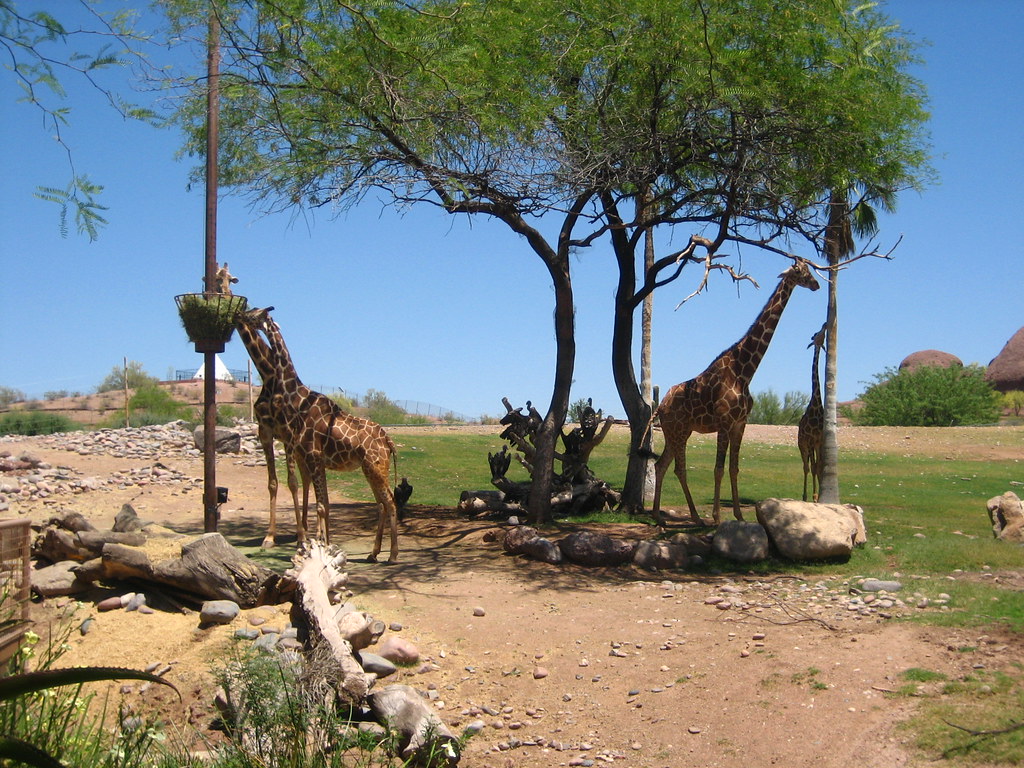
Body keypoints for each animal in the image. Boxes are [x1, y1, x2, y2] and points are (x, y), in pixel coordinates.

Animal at [234, 307, 303, 548]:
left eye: (253, 312)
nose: (237, 315)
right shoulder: (265, 432)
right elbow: (273, 483)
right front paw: (269, 536)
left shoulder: (288, 434)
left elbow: (292, 483)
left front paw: (301, 538)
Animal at [254, 308, 401, 563]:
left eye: (255, 314)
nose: (241, 314)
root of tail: (388, 441)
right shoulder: (313, 458)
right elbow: (322, 503)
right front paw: (322, 546)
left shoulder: (310, 455)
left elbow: (321, 504)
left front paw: (319, 547)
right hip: (371, 468)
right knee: (381, 504)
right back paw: (373, 553)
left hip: (374, 467)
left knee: (390, 503)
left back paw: (391, 556)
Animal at [652, 260, 820, 525]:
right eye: (800, 271)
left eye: (809, 269)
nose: (816, 284)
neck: (745, 370)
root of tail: (660, 405)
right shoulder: (724, 422)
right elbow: (718, 469)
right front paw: (717, 517)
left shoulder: (740, 423)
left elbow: (734, 468)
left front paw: (739, 515)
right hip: (677, 431)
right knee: (678, 468)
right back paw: (692, 517)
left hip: (678, 432)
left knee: (662, 465)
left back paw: (664, 516)